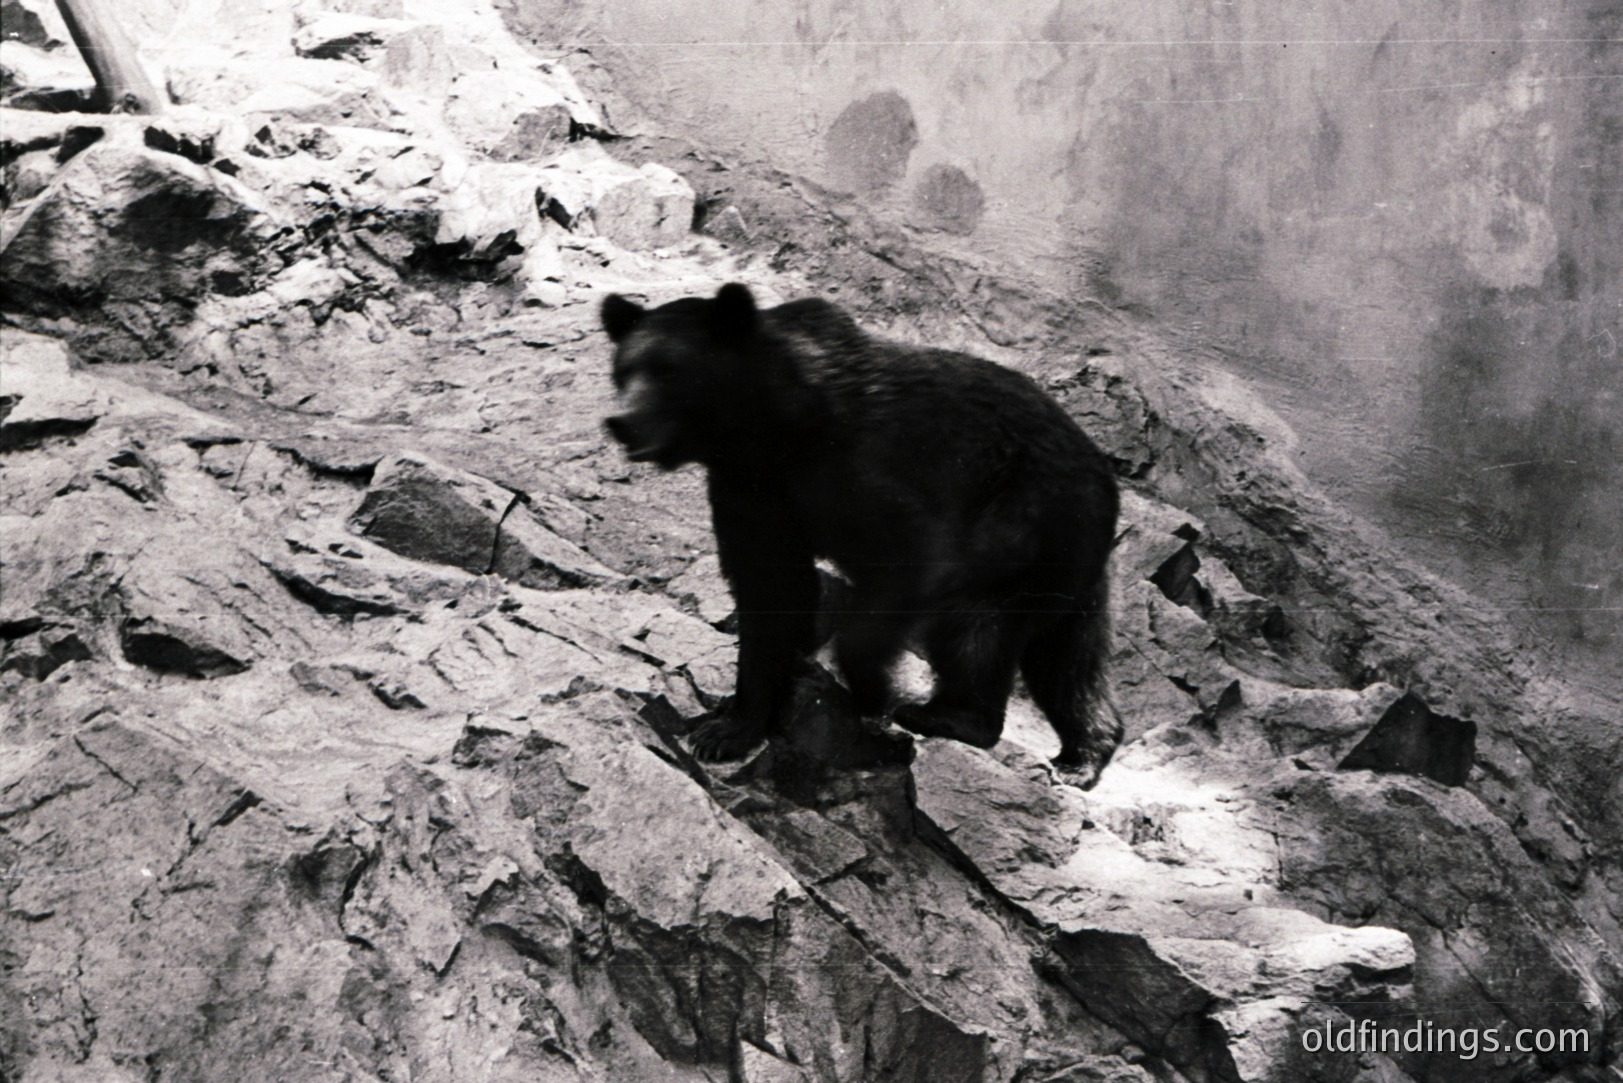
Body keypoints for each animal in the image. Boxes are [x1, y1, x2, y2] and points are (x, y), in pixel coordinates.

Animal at [602, 282, 1122, 786]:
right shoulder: (751, 494)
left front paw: (871, 690)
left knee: (975, 623)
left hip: (1021, 517)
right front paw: (727, 728)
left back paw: (948, 715)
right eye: (622, 371)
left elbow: (907, 557)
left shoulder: (863, 465)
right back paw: (1084, 752)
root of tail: (1103, 474)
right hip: (1066, 563)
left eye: (668, 370)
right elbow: (768, 590)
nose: (622, 423)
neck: (773, 428)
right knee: (1065, 658)